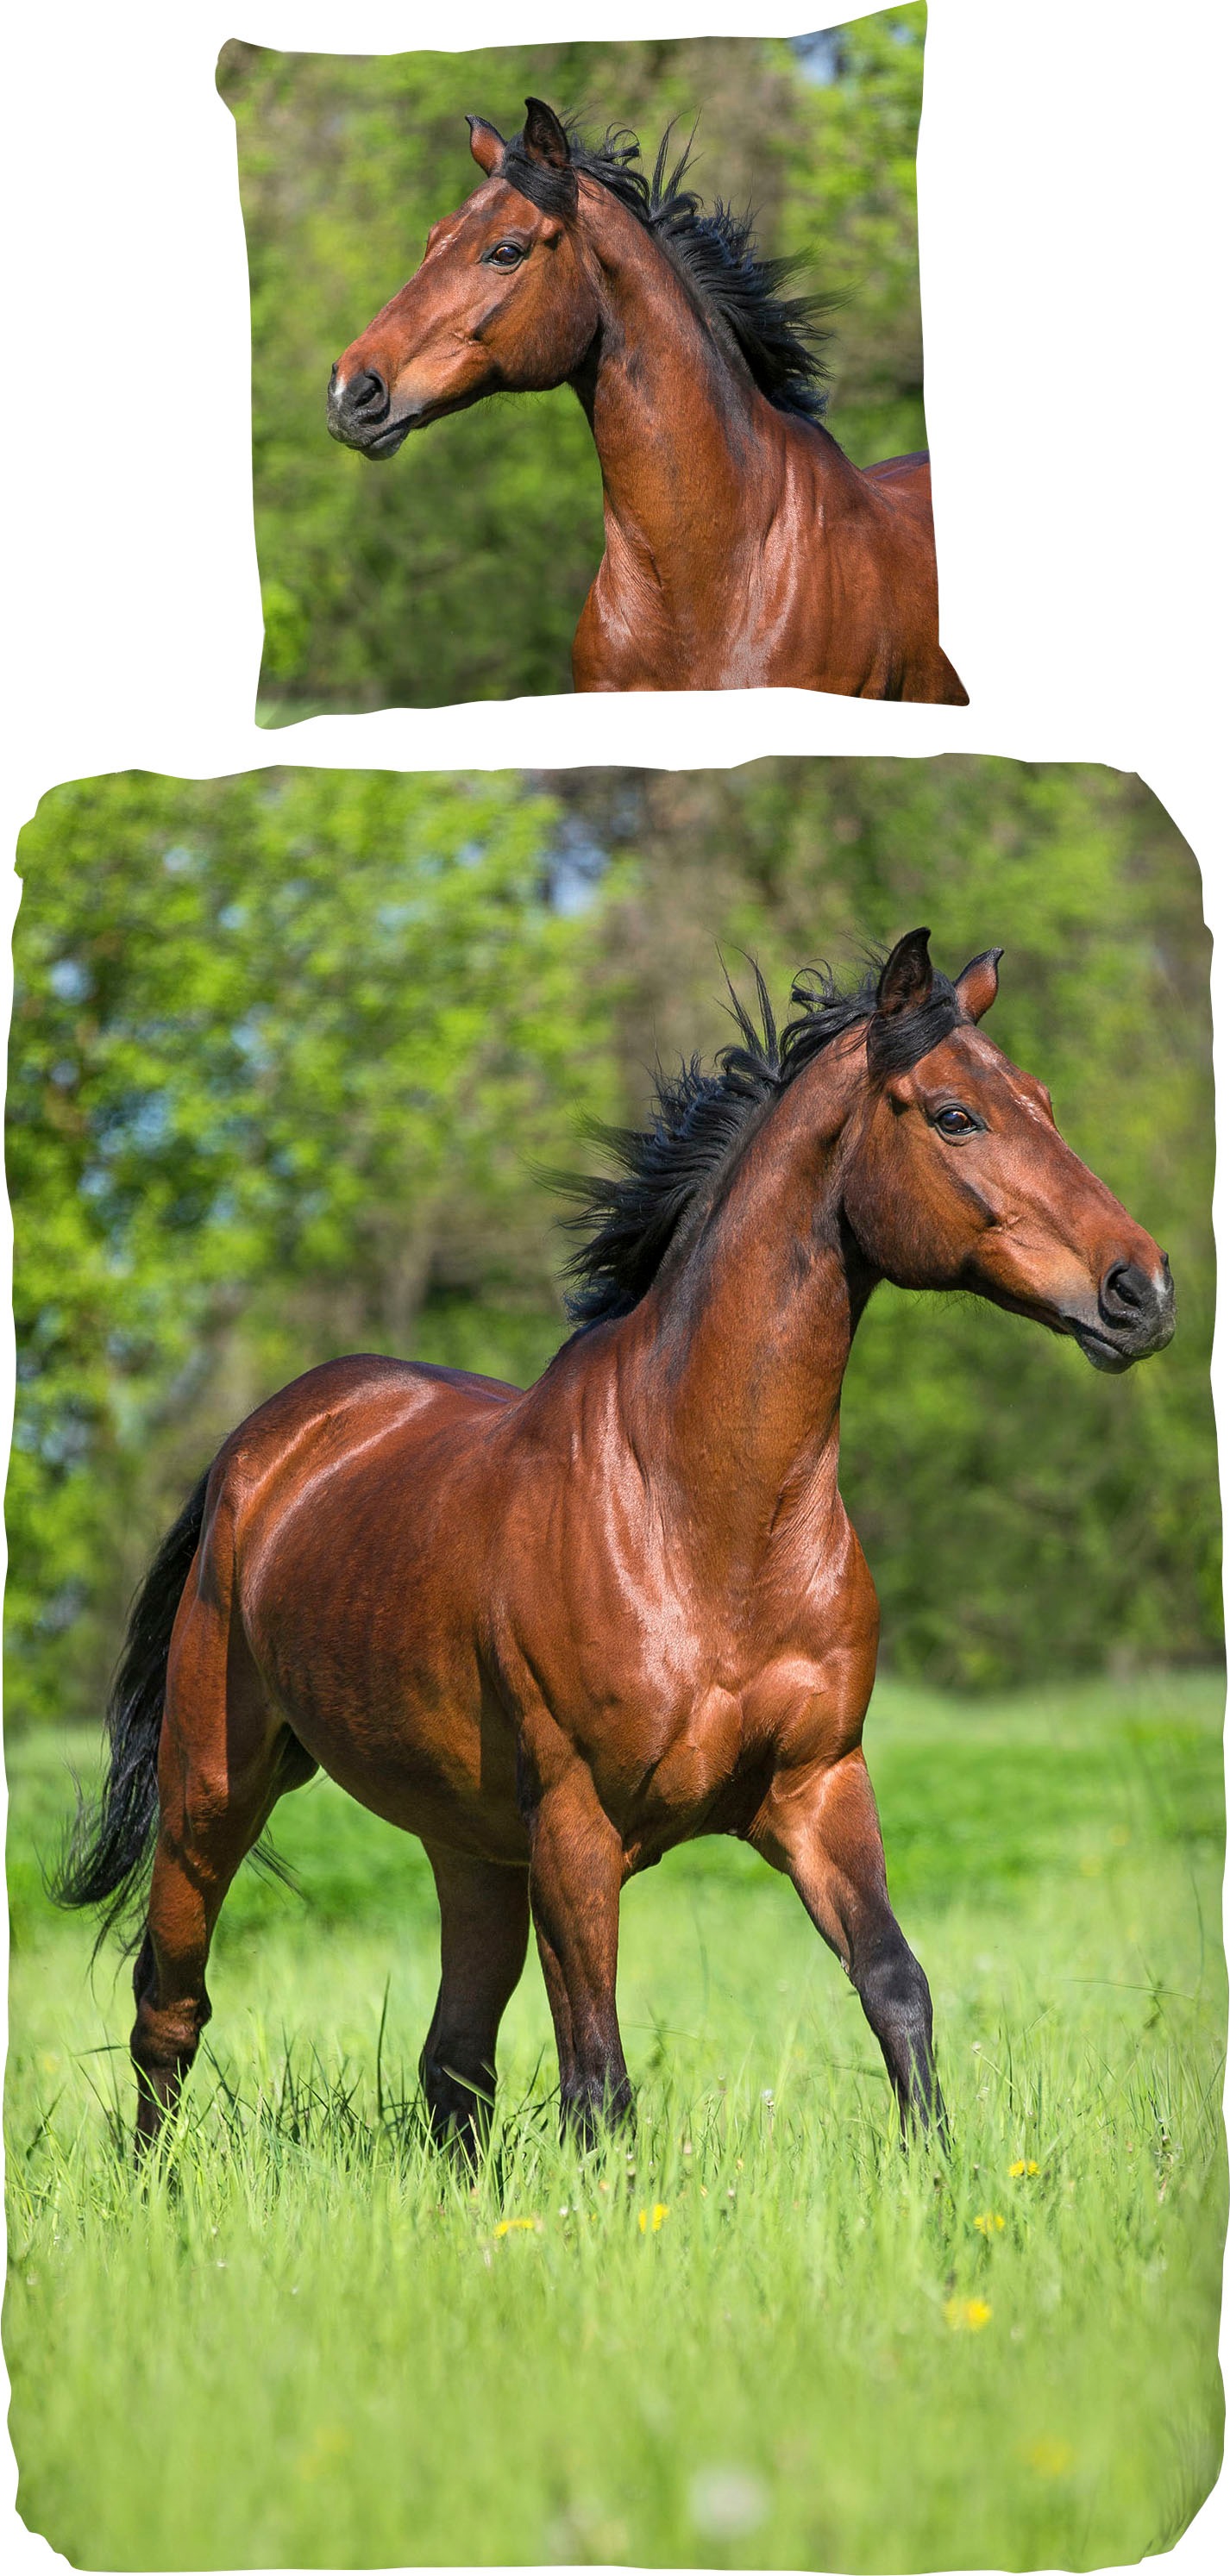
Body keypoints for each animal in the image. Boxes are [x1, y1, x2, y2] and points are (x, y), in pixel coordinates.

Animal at [58, 931, 1173, 2157]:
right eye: (954, 1114)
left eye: (1044, 1101)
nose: (1141, 1291)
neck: (699, 1520)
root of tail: (261, 1447)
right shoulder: (578, 1825)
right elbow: (599, 2079)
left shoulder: (818, 1788)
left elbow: (895, 1986)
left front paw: (938, 2174)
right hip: (214, 1791)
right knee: (171, 2008)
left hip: (472, 1847)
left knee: (451, 2061)